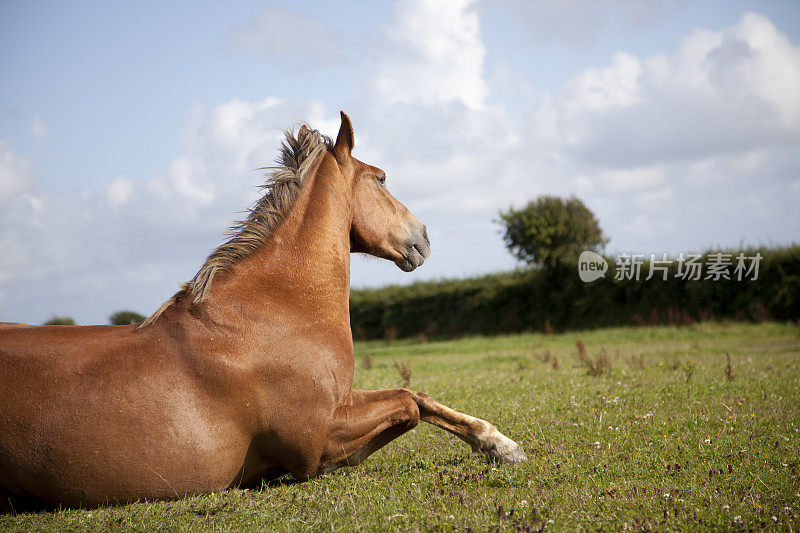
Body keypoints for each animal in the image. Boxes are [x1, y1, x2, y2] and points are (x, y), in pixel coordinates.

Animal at [0, 112, 524, 508]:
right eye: (381, 178)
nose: (424, 238)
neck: (271, 313)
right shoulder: (319, 439)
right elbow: (409, 406)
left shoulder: (339, 406)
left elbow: (418, 396)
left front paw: (500, 445)